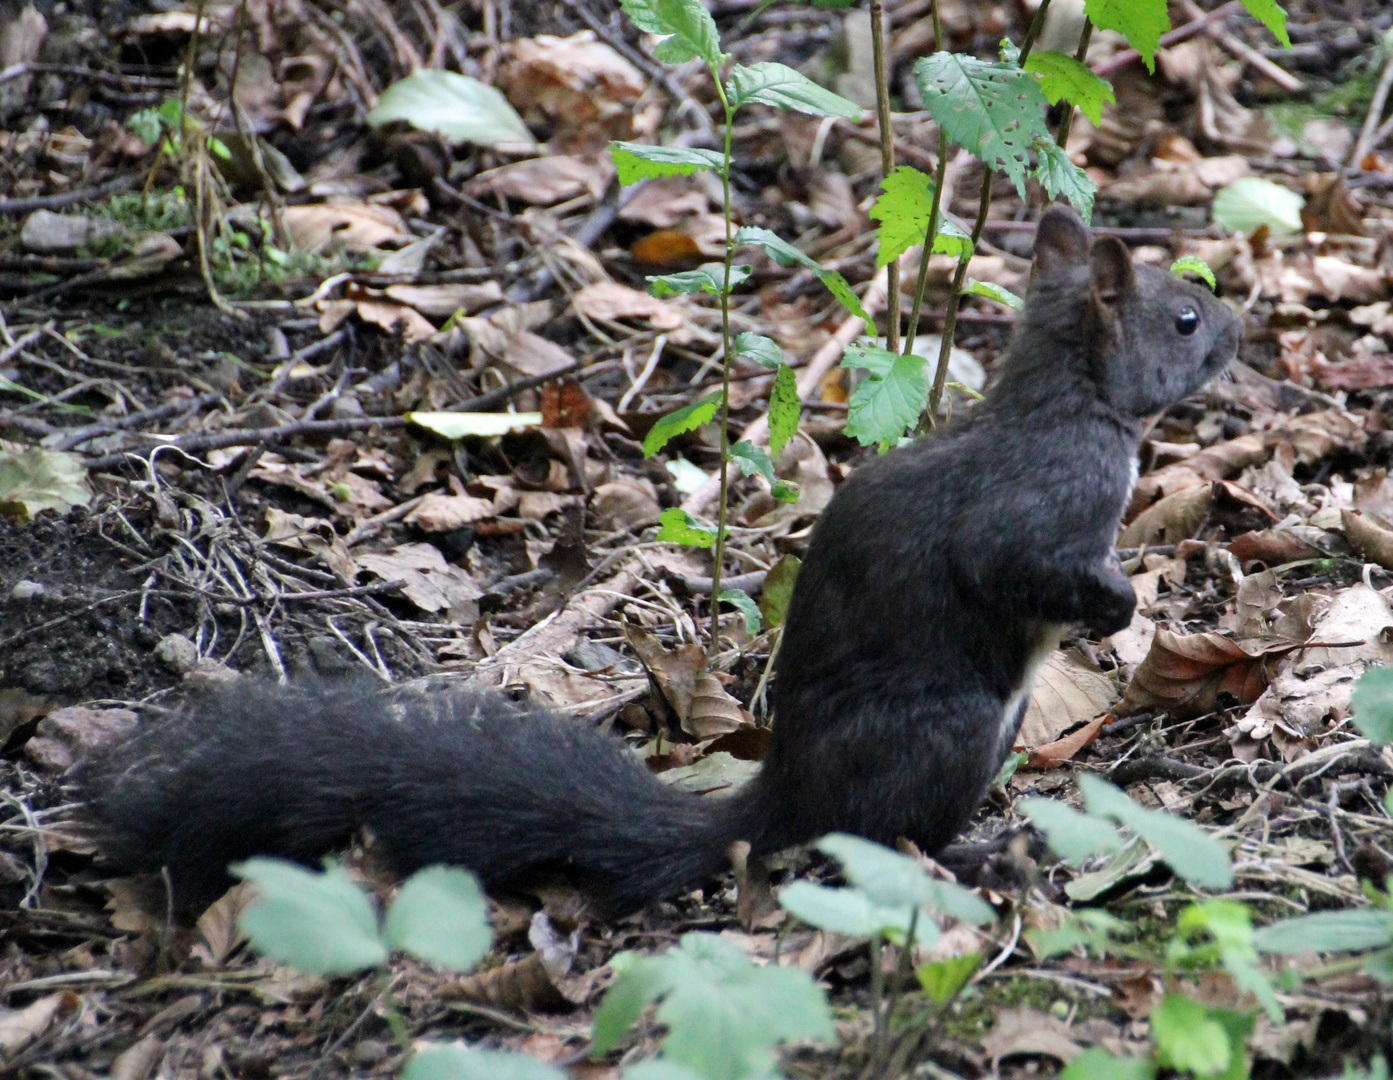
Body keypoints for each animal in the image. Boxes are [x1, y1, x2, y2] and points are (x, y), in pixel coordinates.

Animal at [76, 207, 1242, 914]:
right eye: (1183, 318)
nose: (1239, 327)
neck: (1073, 403)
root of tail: (781, 798)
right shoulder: (1029, 511)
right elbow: (1018, 570)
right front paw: (1113, 604)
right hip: (946, 733)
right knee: (865, 842)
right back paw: (974, 855)